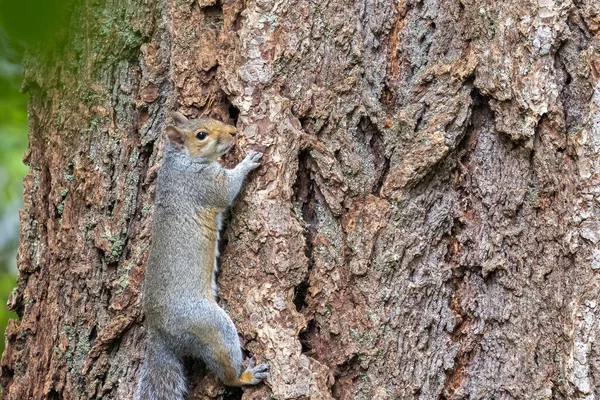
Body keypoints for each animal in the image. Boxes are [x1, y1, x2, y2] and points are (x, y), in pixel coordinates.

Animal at [136, 110, 270, 400]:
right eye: (201, 135)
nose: (233, 131)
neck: (181, 161)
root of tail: (159, 332)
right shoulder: (204, 184)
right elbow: (227, 189)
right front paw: (247, 162)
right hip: (210, 326)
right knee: (225, 370)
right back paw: (245, 376)